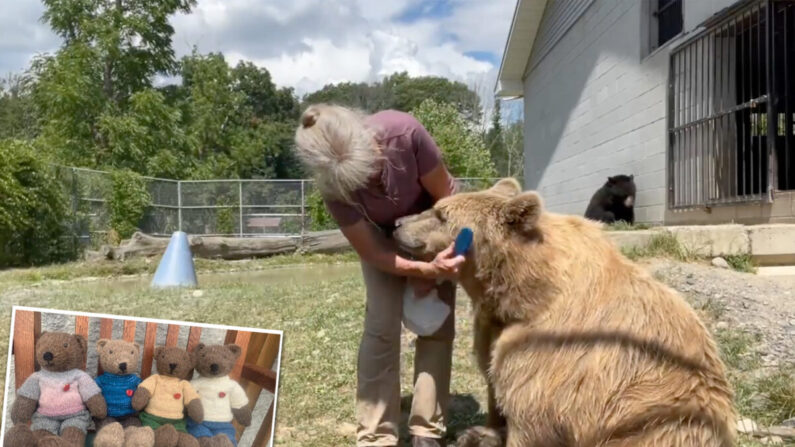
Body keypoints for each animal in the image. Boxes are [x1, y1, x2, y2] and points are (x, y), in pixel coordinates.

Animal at [392, 179, 732, 447]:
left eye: (440, 214)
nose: (397, 224)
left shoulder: (551, 350)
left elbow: (530, 411)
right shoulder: (495, 327)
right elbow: (493, 377)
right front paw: (484, 431)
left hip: (662, 423)